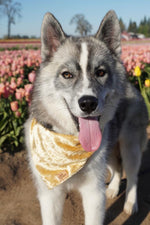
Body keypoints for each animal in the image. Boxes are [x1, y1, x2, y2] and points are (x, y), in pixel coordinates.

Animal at [24, 10, 148, 225]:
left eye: (101, 72)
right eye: (67, 74)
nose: (88, 103)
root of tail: (133, 86)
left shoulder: (93, 193)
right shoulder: (50, 195)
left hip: (129, 147)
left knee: (132, 176)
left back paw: (131, 204)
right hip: (110, 147)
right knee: (117, 168)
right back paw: (113, 189)